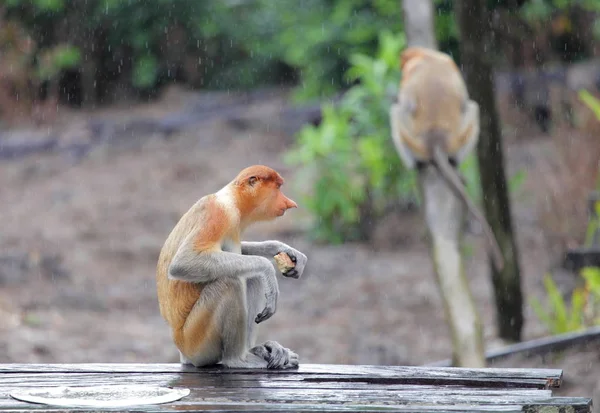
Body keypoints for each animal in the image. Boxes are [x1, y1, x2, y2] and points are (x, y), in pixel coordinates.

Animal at [155, 164, 308, 366]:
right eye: (278, 188)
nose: (290, 203)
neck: (232, 200)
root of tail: (182, 351)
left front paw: (281, 248)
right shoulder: (218, 215)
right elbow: (183, 262)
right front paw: (268, 268)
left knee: (251, 277)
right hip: (196, 341)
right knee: (230, 283)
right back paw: (238, 360)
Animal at [390, 46, 506, 272]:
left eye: (403, 63)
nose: (400, 67)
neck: (427, 58)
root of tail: (436, 137)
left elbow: (405, 105)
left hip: (414, 139)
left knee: (397, 111)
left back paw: (417, 164)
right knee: (472, 107)